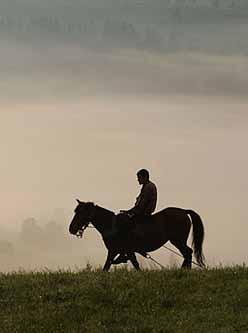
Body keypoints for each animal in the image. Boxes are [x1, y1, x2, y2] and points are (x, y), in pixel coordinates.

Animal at [69, 200, 204, 270]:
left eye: (80, 213)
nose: (71, 229)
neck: (112, 225)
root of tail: (184, 211)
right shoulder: (119, 251)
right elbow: (110, 265)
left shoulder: (120, 250)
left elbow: (125, 264)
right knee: (188, 253)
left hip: (177, 240)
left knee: (188, 252)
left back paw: (184, 270)